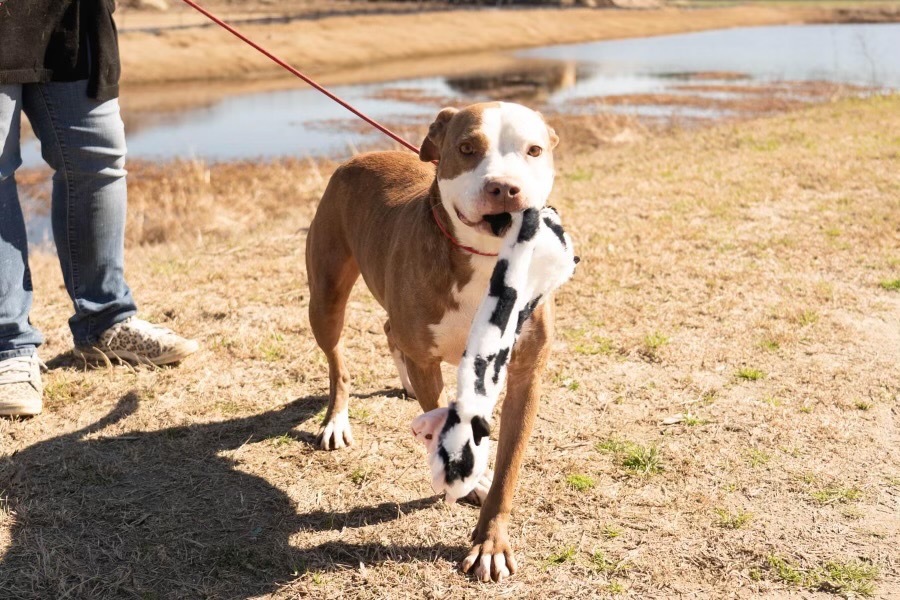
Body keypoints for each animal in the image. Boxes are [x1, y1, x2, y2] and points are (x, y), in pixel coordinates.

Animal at [306, 102, 560, 580]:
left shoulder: (525, 375)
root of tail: (360, 157)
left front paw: (490, 541)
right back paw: (336, 421)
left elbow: (509, 467)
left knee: (390, 330)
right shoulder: (428, 364)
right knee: (338, 361)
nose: (505, 187)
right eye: (467, 148)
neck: (487, 263)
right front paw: (469, 480)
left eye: (534, 150)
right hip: (325, 301)